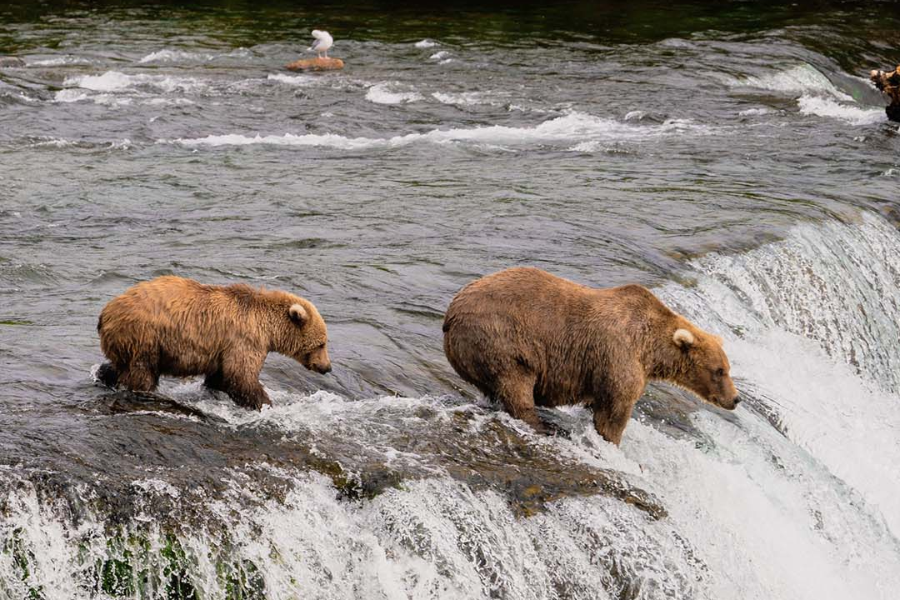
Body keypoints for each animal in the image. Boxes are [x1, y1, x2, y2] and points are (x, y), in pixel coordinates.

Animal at [96, 276, 331, 409]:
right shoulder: (245, 340)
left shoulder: (223, 349)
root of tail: (106, 312)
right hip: (145, 337)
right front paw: (265, 403)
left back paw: (104, 375)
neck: (267, 327)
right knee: (142, 372)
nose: (327, 367)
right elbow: (241, 375)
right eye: (321, 343)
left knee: (119, 365)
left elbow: (221, 376)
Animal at [442, 267, 739, 444]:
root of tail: (450, 314)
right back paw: (543, 425)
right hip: (501, 338)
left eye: (727, 368)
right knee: (515, 383)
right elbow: (615, 410)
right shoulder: (618, 356)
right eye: (719, 370)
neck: (651, 351)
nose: (735, 399)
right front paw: (612, 441)